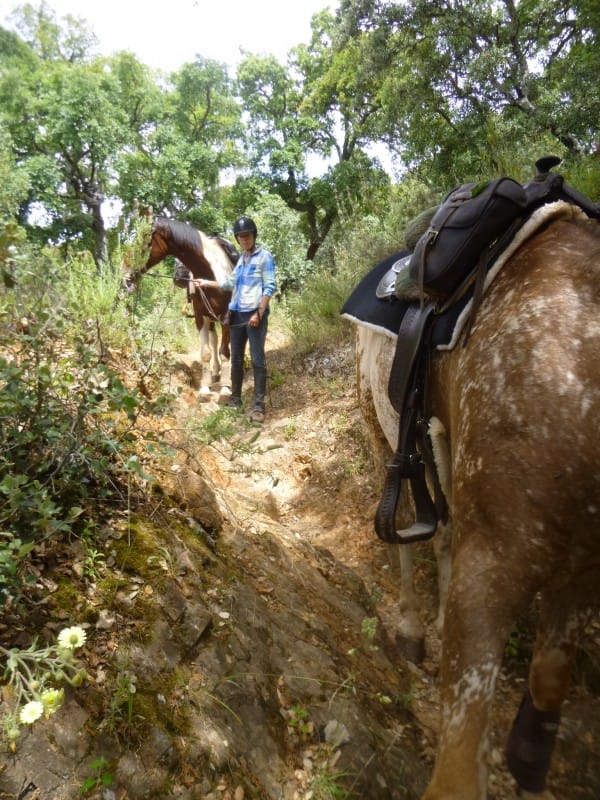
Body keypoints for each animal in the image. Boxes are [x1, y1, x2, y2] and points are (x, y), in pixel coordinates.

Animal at [123, 216, 238, 400]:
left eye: (145, 239)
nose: (125, 273)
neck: (212, 274)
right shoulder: (200, 316)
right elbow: (206, 352)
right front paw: (204, 388)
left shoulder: (227, 316)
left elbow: (225, 352)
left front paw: (226, 387)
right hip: (210, 317)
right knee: (213, 339)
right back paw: (215, 373)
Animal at [354, 205, 600, 800]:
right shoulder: (491, 566)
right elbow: (457, 771)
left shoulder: (583, 569)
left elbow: (548, 677)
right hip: (382, 434)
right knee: (407, 530)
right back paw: (413, 629)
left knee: (439, 529)